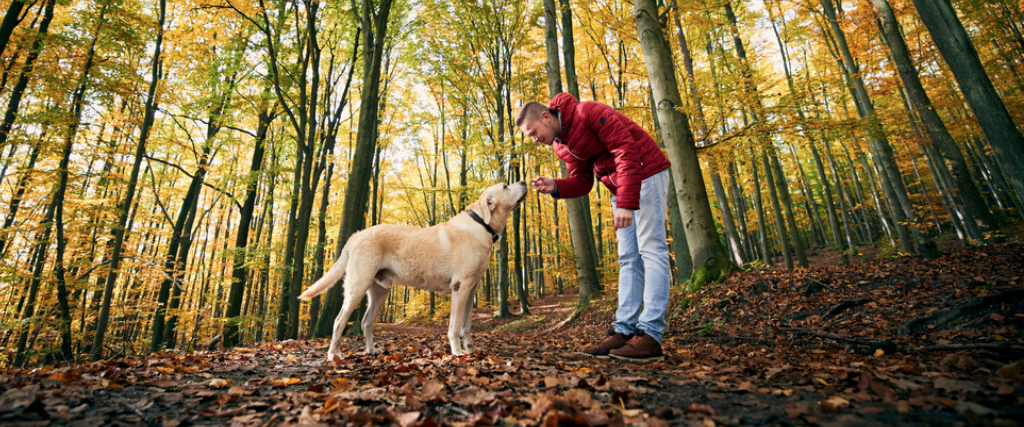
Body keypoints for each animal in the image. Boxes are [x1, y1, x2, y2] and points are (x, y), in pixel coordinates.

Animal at [299, 180, 528, 360]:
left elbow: (466, 326)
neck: (482, 224)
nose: (525, 181)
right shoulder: (460, 287)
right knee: (339, 321)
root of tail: (357, 234)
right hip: (357, 285)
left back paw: (372, 350)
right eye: (505, 186)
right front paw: (457, 352)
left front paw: (470, 349)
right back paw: (333, 354)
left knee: (366, 322)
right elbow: (455, 326)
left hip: (379, 291)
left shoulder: (471, 290)